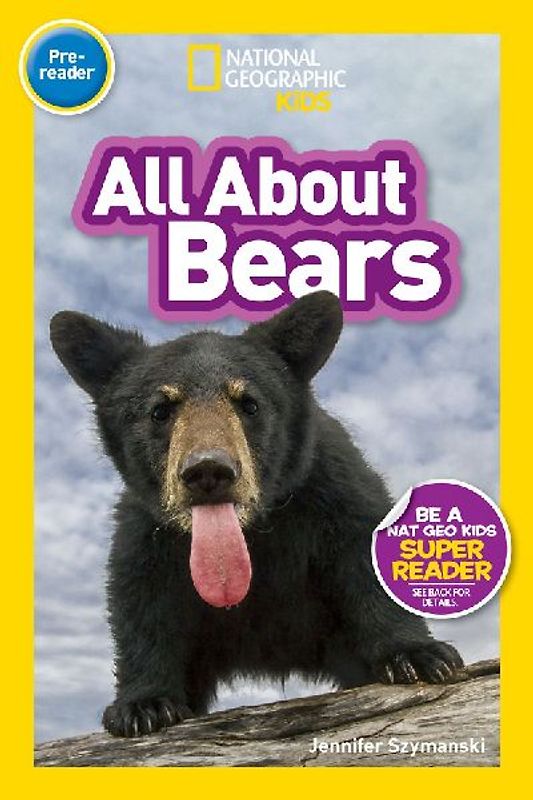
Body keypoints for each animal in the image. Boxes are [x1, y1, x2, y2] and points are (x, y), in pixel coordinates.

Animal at [49, 290, 463, 738]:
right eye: (160, 409)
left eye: (249, 403)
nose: (208, 471)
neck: (253, 534)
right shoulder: (147, 529)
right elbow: (140, 596)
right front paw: (142, 705)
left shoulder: (331, 486)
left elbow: (363, 552)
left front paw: (419, 656)